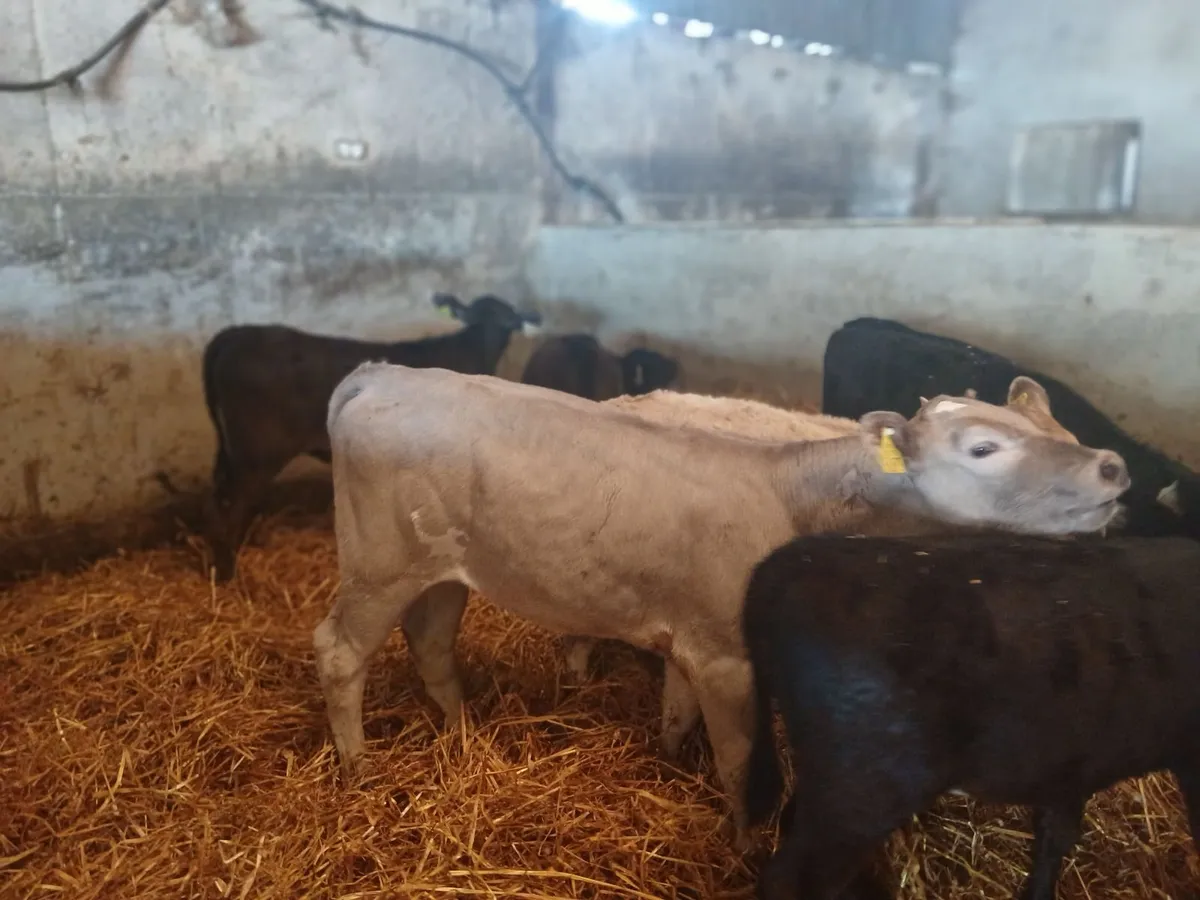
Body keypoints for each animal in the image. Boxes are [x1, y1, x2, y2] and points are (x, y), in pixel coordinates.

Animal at [201, 292, 542, 581]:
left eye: (509, 321)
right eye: (474, 317)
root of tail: (235, 334)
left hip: (234, 452)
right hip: (257, 454)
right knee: (232, 506)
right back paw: (228, 573)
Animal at [741, 531, 1200, 900]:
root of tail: (788, 563)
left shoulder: (1072, 762)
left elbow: (1057, 832)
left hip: (834, 781)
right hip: (862, 793)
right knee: (790, 880)